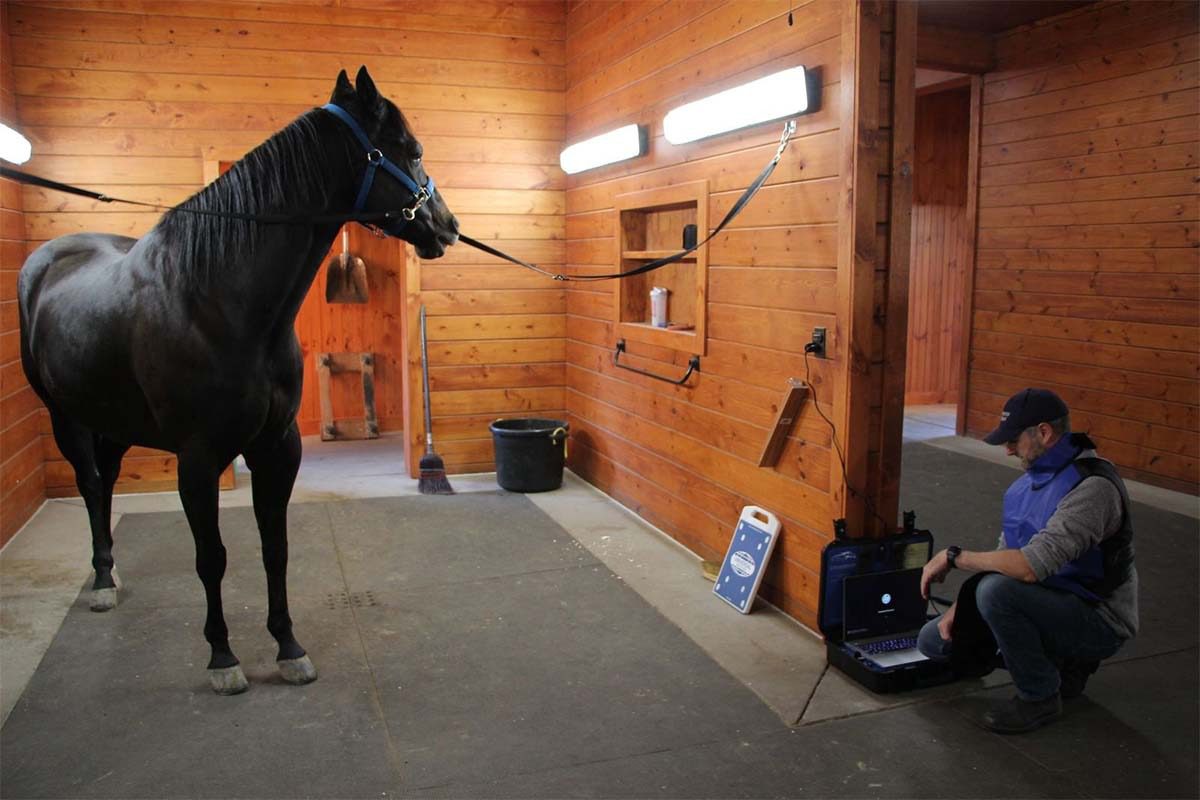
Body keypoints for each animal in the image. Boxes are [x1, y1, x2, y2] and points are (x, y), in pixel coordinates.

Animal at [17, 66, 459, 694]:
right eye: (413, 149)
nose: (448, 225)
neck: (219, 300)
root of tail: (47, 260)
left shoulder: (278, 445)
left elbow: (275, 547)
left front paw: (289, 647)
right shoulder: (199, 458)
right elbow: (213, 556)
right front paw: (222, 657)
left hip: (115, 424)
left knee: (104, 485)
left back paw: (110, 574)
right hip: (68, 419)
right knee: (89, 485)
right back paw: (102, 583)